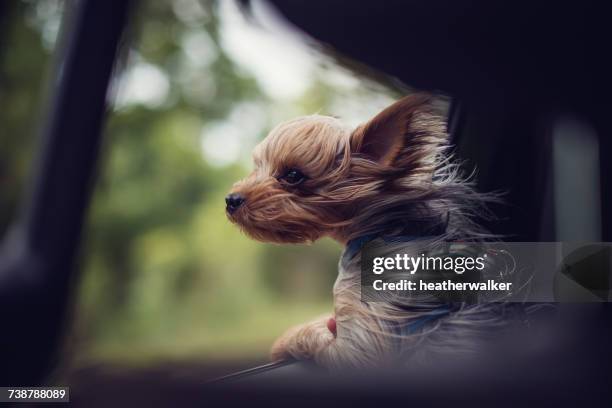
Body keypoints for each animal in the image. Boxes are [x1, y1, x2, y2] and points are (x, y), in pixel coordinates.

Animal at [225, 94, 520, 368]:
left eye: (293, 175)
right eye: (257, 168)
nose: (231, 199)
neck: (386, 226)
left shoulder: (362, 339)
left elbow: (312, 334)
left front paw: (281, 343)